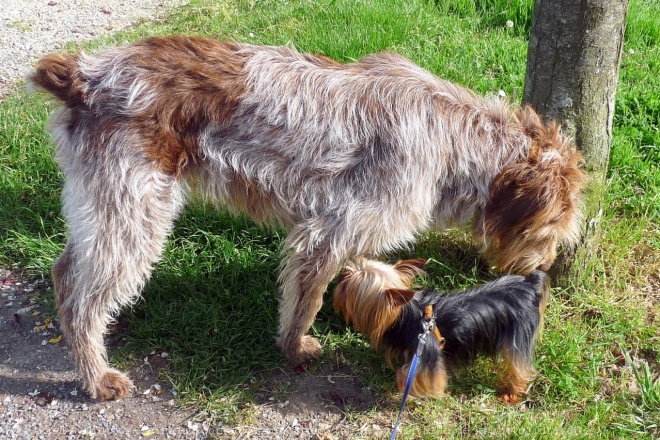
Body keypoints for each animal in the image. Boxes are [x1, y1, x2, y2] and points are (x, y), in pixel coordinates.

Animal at [28, 35, 584, 398]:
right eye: (550, 230)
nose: (545, 268)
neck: (453, 138)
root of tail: (87, 75)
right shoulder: (326, 231)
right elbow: (307, 298)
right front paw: (295, 348)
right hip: (134, 211)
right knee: (82, 300)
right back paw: (97, 376)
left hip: (102, 203)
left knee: (65, 271)